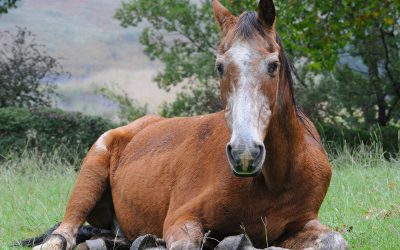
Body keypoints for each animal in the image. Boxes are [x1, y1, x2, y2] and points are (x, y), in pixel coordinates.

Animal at [21, 0, 348, 250]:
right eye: (219, 67)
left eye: (273, 65)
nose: (245, 153)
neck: (276, 178)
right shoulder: (182, 220)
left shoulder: (301, 223)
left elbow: (335, 240)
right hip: (89, 178)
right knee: (61, 237)